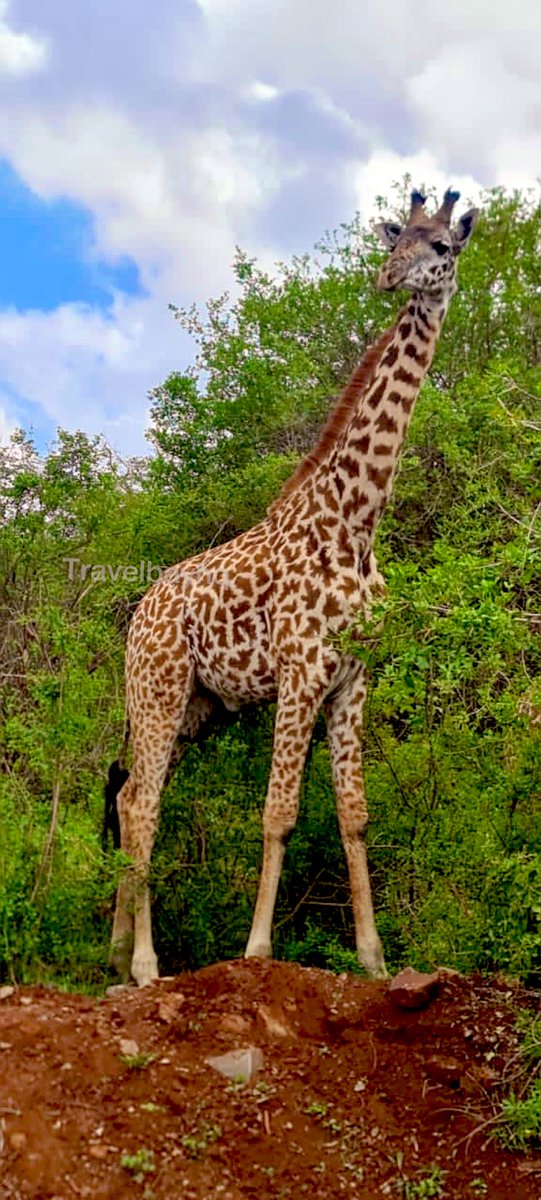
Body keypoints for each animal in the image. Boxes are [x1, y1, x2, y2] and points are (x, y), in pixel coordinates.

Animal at [108, 188, 479, 987]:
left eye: (441, 246)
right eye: (397, 238)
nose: (386, 278)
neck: (356, 521)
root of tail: (139, 615)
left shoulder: (352, 679)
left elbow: (353, 816)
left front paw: (374, 959)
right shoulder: (300, 670)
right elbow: (277, 814)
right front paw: (256, 953)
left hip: (195, 709)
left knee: (127, 797)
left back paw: (117, 953)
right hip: (157, 690)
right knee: (145, 805)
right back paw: (147, 965)